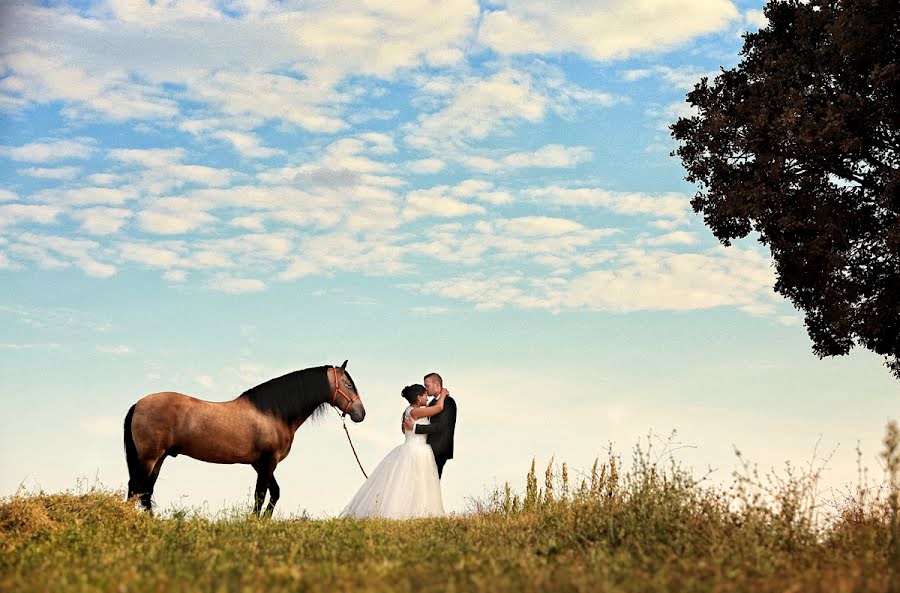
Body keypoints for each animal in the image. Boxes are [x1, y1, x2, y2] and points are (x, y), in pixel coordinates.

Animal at [121, 358, 364, 516]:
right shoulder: (267, 462)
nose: (361, 413)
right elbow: (261, 495)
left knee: (145, 492)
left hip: (159, 458)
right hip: (149, 458)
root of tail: (137, 404)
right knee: (136, 488)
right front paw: (253, 523)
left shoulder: (261, 464)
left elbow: (274, 493)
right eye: (349, 385)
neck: (273, 412)